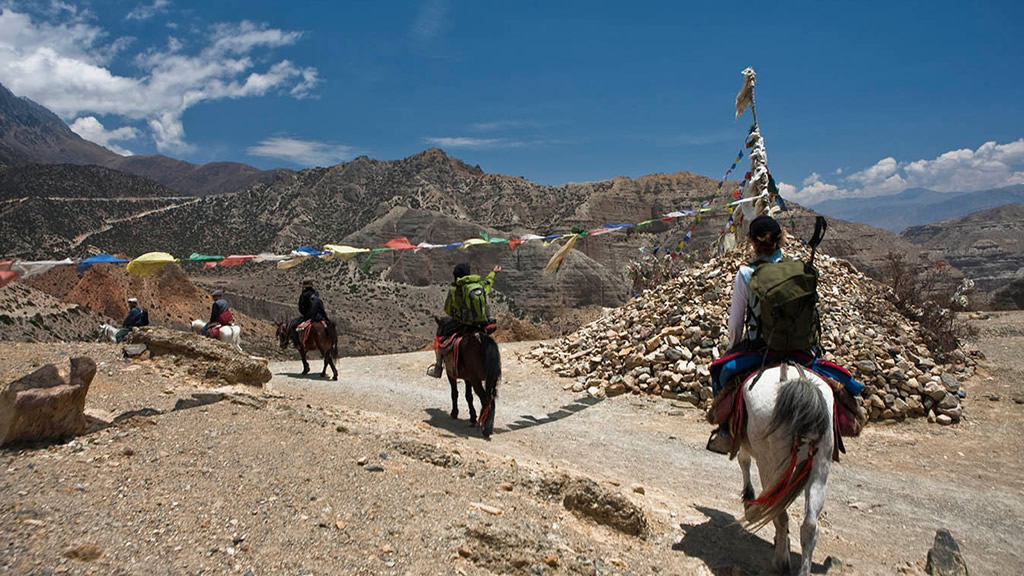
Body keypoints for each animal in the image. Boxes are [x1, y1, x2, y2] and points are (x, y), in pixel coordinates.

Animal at [737, 362, 831, 573]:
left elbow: (743, 459)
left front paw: (748, 500)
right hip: (820, 466)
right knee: (809, 525)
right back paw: (802, 569)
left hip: (770, 467)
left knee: (780, 514)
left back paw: (781, 561)